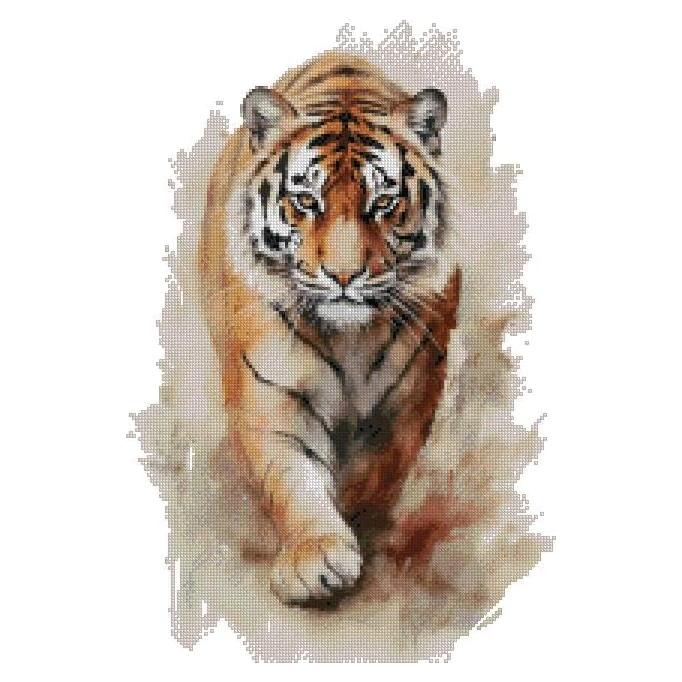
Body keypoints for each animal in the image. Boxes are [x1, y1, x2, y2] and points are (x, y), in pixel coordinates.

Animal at [199, 51, 461, 604]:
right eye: (305, 201)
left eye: (382, 203)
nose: (344, 276)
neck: (350, 338)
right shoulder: (271, 393)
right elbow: (294, 478)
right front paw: (317, 556)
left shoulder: (410, 399)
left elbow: (377, 472)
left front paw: (355, 512)